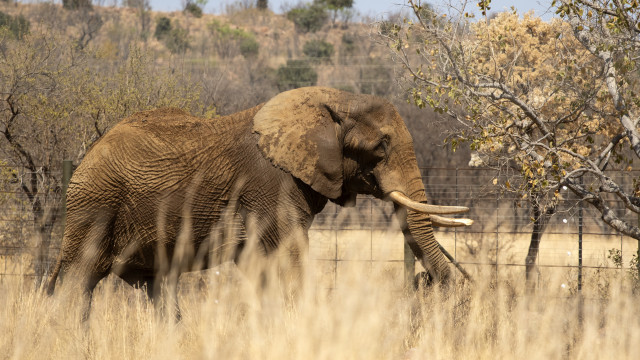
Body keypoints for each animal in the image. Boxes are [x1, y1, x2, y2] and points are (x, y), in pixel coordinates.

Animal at [45, 86, 472, 318]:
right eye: (382, 145)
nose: (426, 284)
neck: (335, 99)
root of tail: (86, 157)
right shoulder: (271, 184)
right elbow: (291, 258)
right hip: (95, 205)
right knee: (78, 282)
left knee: (160, 288)